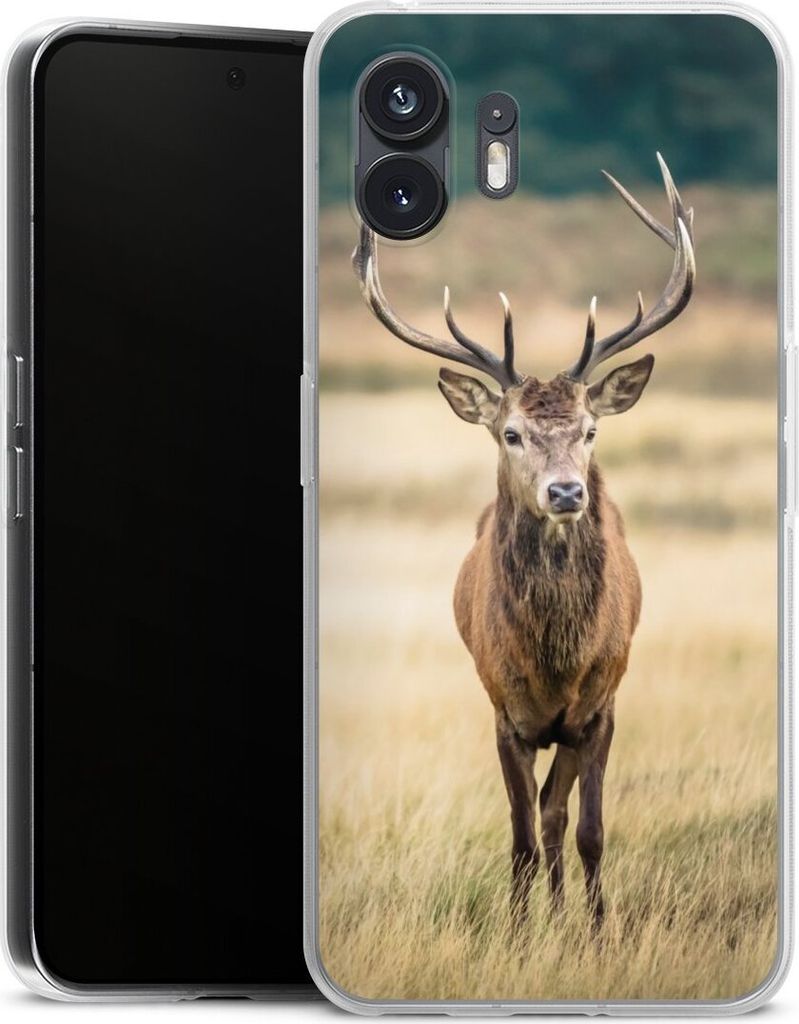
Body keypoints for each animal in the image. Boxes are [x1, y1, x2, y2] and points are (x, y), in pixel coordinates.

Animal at [352, 154, 695, 929]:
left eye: (590, 431)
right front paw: (515, 931)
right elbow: (518, 838)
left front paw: (596, 932)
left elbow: (586, 829)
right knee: (538, 818)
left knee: (556, 813)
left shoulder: (599, 707)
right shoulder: (503, 712)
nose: (566, 492)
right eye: (510, 433)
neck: (554, 662)